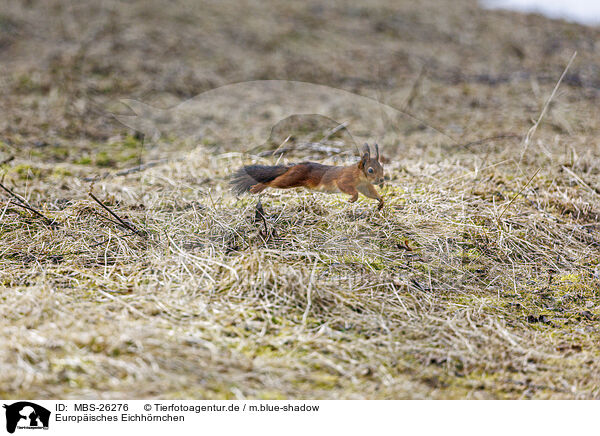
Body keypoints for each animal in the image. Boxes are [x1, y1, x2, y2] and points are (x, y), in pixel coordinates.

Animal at [230, 143, 384, 209]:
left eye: (382, 167)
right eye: (370, 170)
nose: (382, 180)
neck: (359, 176)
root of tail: (294, 166)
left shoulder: (364, 186)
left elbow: (371, 193)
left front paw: (381, 201)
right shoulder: (344, 179)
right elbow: (346, 187)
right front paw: (353, 198)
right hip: (290, 179)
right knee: (272, 182)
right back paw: (257, 188)